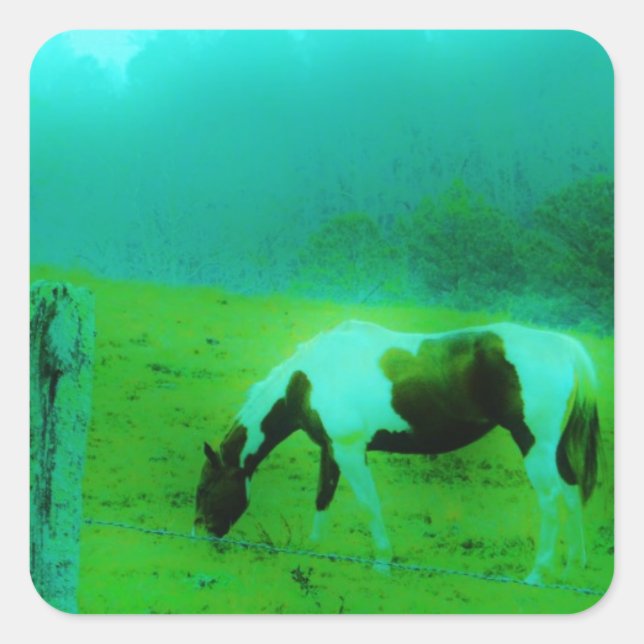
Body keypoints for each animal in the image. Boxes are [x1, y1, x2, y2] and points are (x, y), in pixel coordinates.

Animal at [194, 320, 600, 583]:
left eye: (205, 489)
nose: (200, 537)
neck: (308, 379)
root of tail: (565, 347)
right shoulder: (332, 449)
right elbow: (323, 497)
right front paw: (314, 548)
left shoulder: (350, 451)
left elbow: (368, 503)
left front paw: (382, 561)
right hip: (554, 450)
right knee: (571, 490)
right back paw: (573, 565)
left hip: (534, 444)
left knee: (550, 500)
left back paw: (538, 573)